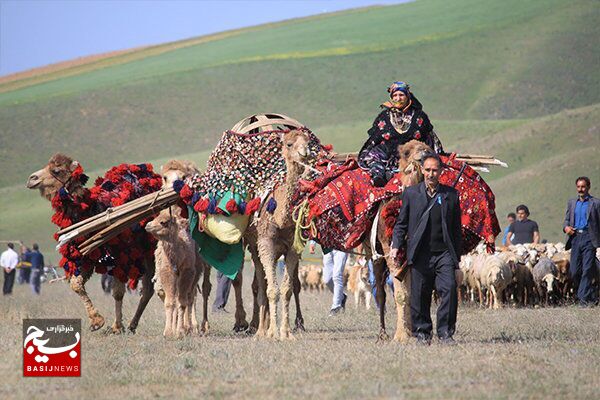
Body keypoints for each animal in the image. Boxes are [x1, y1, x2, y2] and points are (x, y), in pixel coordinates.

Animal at [244, 129, 310, 340]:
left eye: (307, 141)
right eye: (289, 144)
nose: (304, 152)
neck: (280, 218)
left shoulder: (293, 248)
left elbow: (287, 289)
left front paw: (286, 333)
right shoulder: (265, 244)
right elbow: (272, 290)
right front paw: (272, 332)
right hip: (254, 248)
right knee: (260, 285)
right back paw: (260, 330)